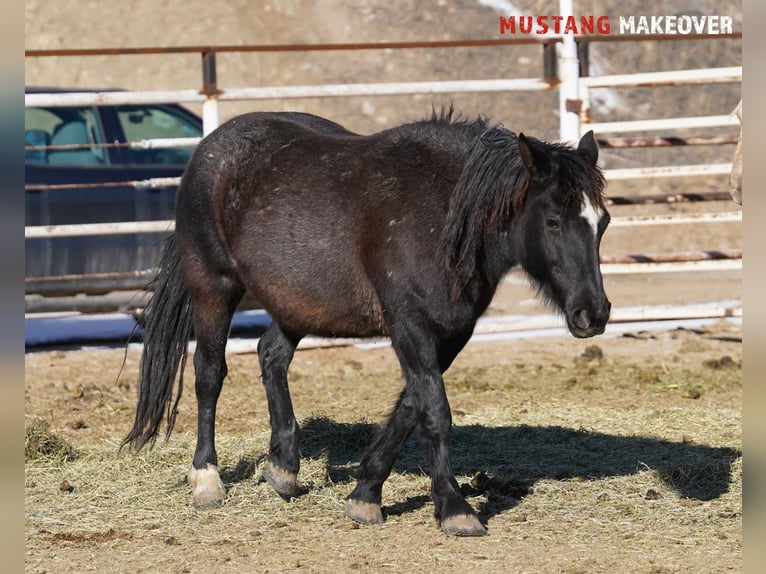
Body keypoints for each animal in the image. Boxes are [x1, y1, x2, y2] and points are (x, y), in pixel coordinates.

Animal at [121, 109, 612, 540]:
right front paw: (455, 508)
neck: (441, 213)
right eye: (553, 221)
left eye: (602, 221)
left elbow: (410, 407)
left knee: (271, 356)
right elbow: (435, 412)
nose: (594, 313)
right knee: (209, 375)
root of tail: (208, 150)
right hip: (213, 287)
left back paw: (283, 469)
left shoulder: (451, 333)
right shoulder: (409, 324)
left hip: (296, 304)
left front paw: (365, 494)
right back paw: (207, 480)